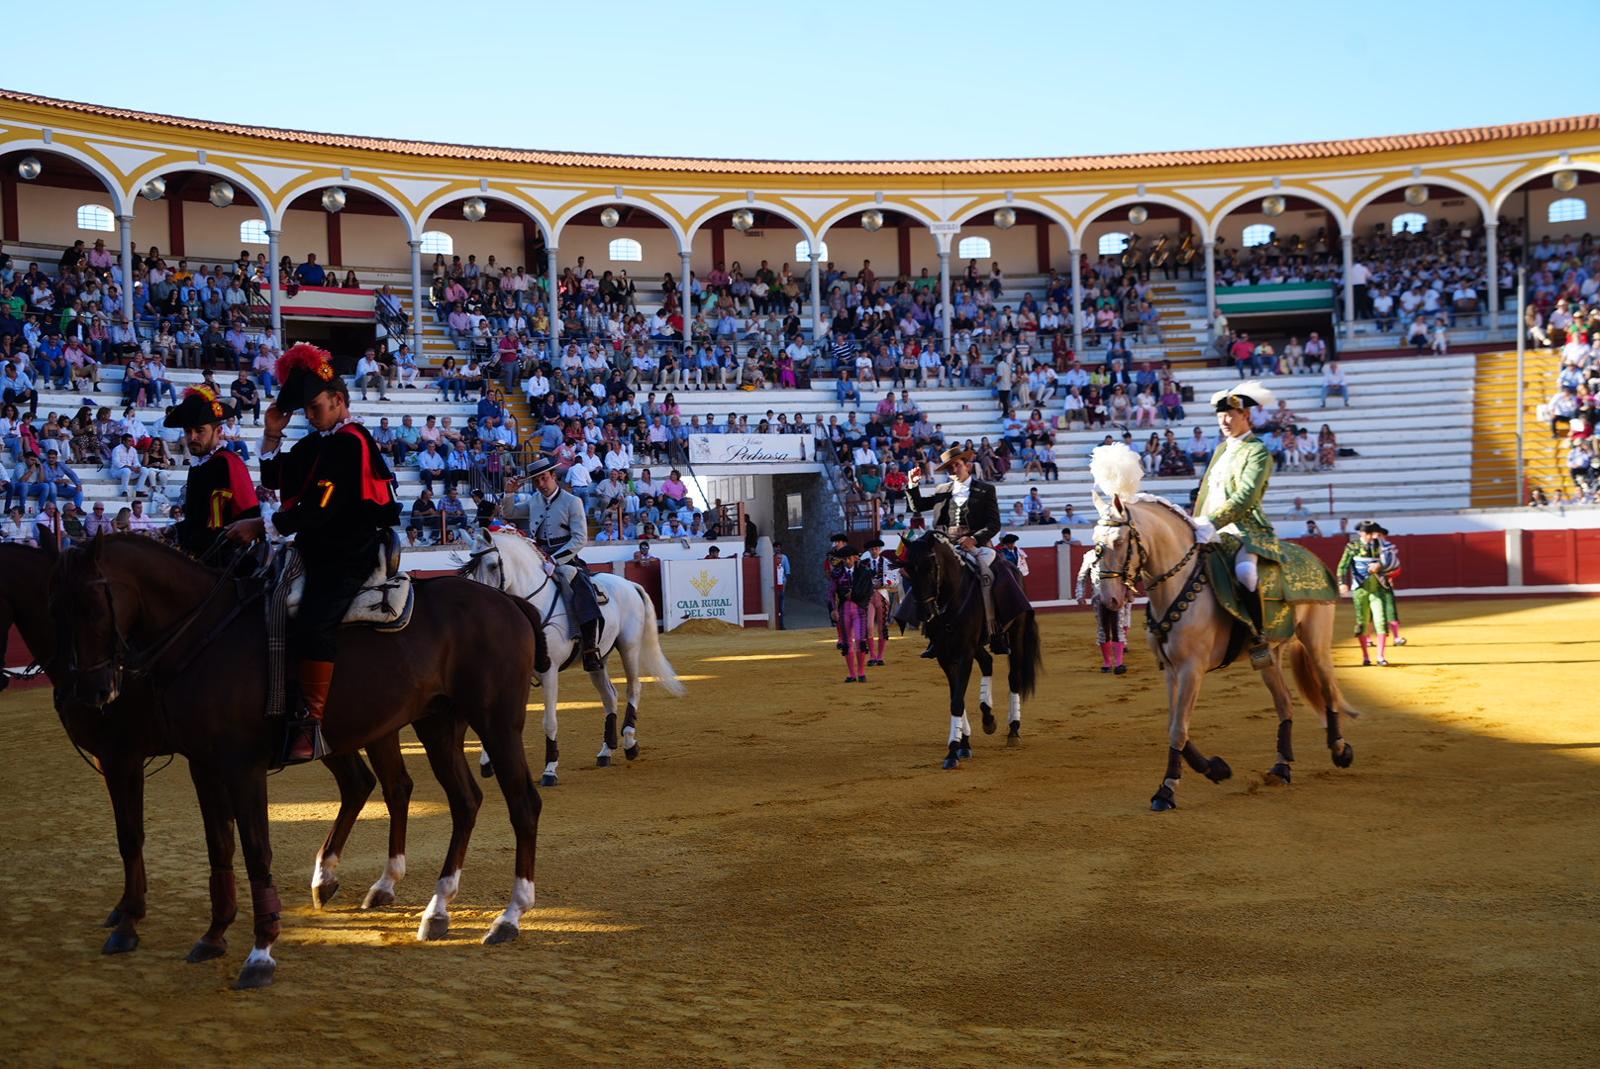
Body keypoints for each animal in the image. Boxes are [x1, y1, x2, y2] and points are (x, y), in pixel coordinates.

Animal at [50, 537, 550, 992]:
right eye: (60, 606)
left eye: (91, 604)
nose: (92, 691)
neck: (205, 637)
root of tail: (508, 602)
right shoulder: (203, 764)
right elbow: (219, 847)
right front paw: (213, 935)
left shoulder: (239, 766)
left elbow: (255, 850)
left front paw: (260, 952)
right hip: (437, 724)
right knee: (462, 801)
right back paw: (436, 907)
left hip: (495, 722)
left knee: (522, 803)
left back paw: (509, 916)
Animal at [464, 524, 688, 784]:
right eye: (469, 569)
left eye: (492, 565)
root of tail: (628, 583)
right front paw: (488, 762)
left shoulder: (549, 671)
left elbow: (549, 721)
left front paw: (550, 769)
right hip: (598, 660)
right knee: (610, 696)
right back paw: (606, 750)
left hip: (629, 646)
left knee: (633, 688)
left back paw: (630, 744)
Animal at [896, 534, 1043, 768]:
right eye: (908, 569)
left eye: (931, 568)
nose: (924, 613)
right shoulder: (945, 656)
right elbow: (957, 697)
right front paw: (963, 744)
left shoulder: (964, 653)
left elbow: (957, 701)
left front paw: (952, 752)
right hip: (977, 645)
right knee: (987, 662)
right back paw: (988, 718)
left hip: (1016, 631)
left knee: (1014, 677)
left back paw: (1013, 730)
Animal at [1088, 489, 1350, 809]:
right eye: (1095, 542)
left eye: (1118, 541)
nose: (1109, 599)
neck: (1175, 587)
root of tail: (1310, 556)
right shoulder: (1170, 670)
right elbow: (1174, 723)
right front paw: (1216, 769)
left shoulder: (1192, 669)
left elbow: (1179, 728)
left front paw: (1166, 790)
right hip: (1269, 656)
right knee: (1285, 702)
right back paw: (1282, 767)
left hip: (1317, 640)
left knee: (1328, 688)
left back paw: (1340, 751)